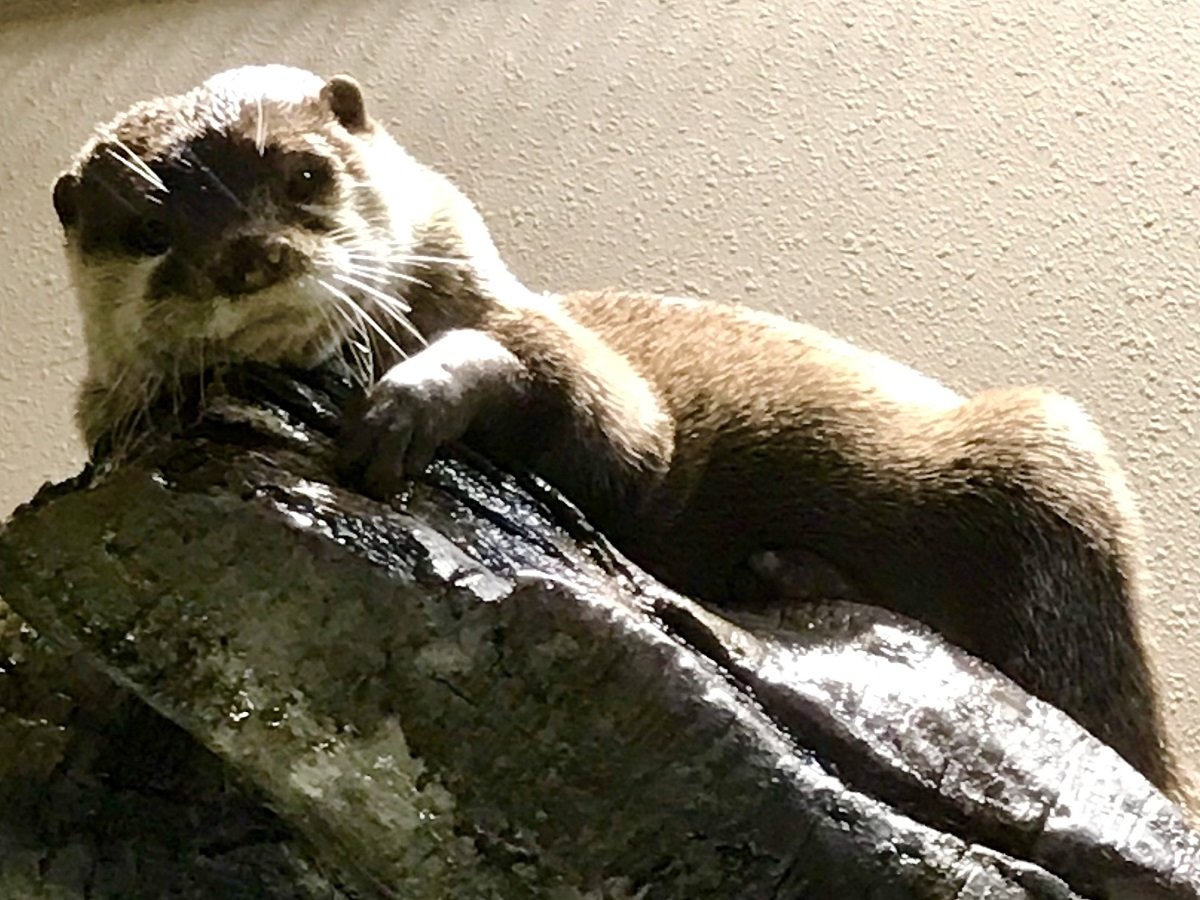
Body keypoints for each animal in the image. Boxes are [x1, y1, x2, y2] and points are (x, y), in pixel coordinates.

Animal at [51, 65, 1175, 792]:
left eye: (303, 173)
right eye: (150, 230)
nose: (248, 255)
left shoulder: (582, 371)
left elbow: (612, 430)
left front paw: (415, 394)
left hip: (1046, 462)